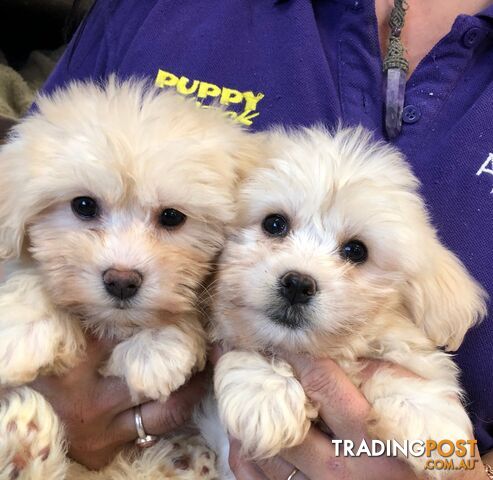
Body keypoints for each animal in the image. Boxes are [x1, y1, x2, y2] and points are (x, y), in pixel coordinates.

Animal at [0, 77, 258, 478]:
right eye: (84, 205)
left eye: (172, 216)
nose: (122, 280)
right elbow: (30, 272)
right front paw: (22, 327)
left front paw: (157, 348)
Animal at [209, 125, 486, 478]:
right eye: (274, 224)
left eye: (356, 251)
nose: (298, 284)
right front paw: (266, 396)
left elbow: (408, 368)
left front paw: (430, 419)